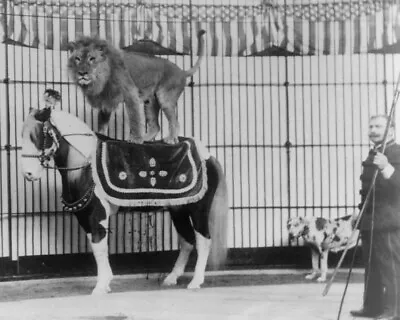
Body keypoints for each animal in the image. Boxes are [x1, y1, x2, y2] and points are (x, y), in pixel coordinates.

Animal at [21, 108, 228, 296]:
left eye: (38, 135)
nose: (28, 174)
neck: (86, 167)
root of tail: (208, 156)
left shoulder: (96, 215)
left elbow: (99, 246)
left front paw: (101, 286)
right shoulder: (85, 217)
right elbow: (97, 247)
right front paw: (105, 284)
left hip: (198, 209)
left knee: (203, 240)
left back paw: (196, 281)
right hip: (178, 210)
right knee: (187, 240)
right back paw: (172, 278)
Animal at [67, 31, 205, 144]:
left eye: (92, 58)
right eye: (77, 59)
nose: (82, 73)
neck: (101, 79)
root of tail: (182, 71)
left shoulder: (130, 93)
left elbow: (134, 118)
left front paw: (136, 139)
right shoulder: (106, 99)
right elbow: (102, 122)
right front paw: (100, 135)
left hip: (165, 98)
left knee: (175, 121)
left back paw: (171, 139)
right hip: (150, 103)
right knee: (156, 126)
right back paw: (146, 138)